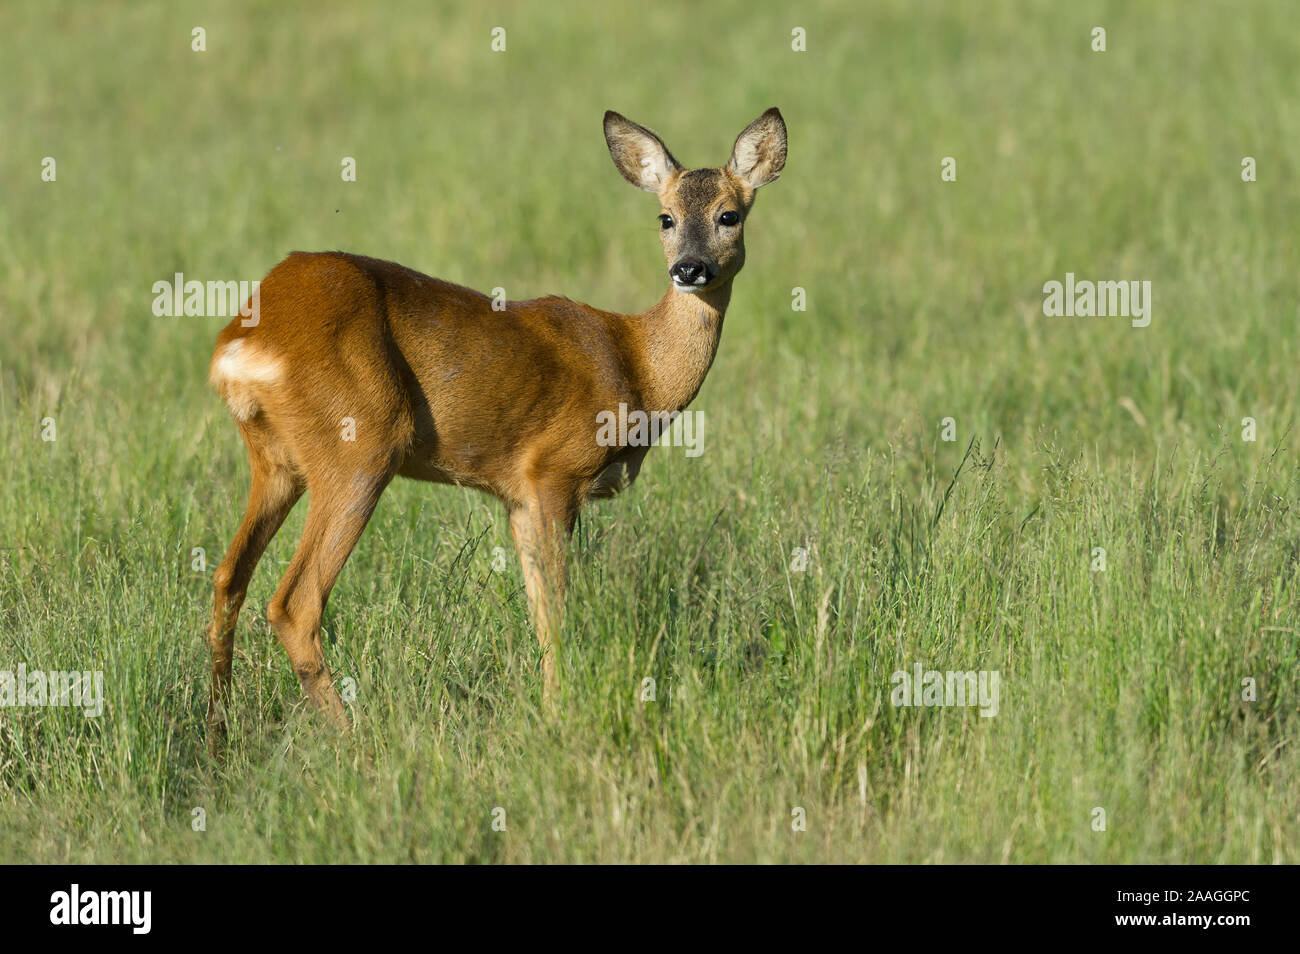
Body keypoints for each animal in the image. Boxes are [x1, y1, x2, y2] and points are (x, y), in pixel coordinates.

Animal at [202, 104, 785, 748]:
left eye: (729, 214)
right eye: (666, 217)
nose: (690, 268)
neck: (639, 366)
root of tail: (241, 342)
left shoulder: (516, 495)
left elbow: (539, 613)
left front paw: (550, 709)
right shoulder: (552, 473)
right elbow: (557, 612)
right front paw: (561, 716)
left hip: (277, 461)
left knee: (228, 577)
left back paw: (217, 734)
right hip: (360, 446)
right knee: (294, 602)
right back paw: (357, 742)